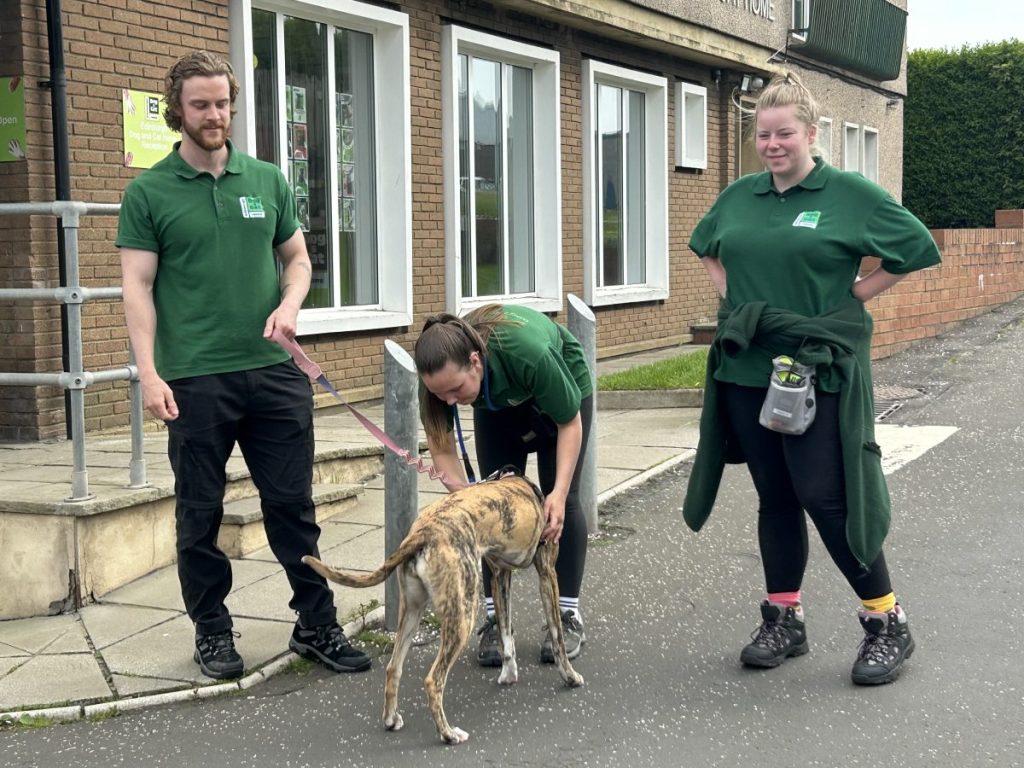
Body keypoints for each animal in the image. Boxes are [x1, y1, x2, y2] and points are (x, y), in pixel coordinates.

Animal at [299, 468, 581, 745]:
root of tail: (422, 533)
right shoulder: (547, 572)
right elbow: (557, 635)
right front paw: (570, 677)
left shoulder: (500, 577)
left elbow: (505, 634)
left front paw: (509, 674)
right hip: (463, 613)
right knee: (433, 680)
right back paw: (448, 733)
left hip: (412, 611)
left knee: (393, 667)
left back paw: (391, 719)